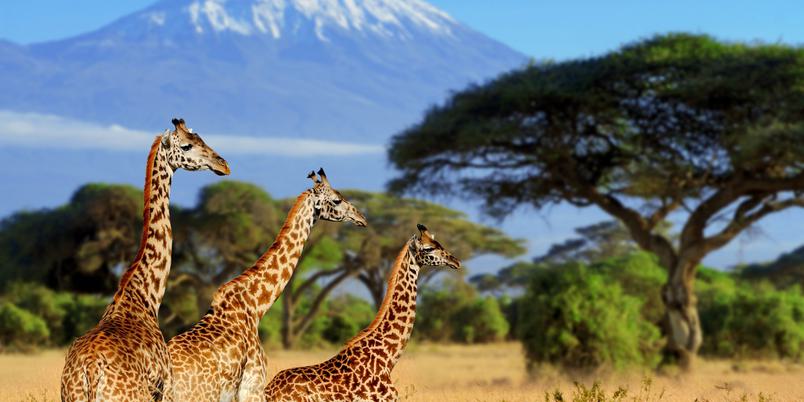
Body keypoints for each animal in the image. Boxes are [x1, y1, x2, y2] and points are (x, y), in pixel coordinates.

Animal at [60, 118, 230, 402]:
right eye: (187, 145)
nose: (223, 164)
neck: (145, 296)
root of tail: (91, 371)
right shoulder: (166, 387)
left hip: (69, 395)